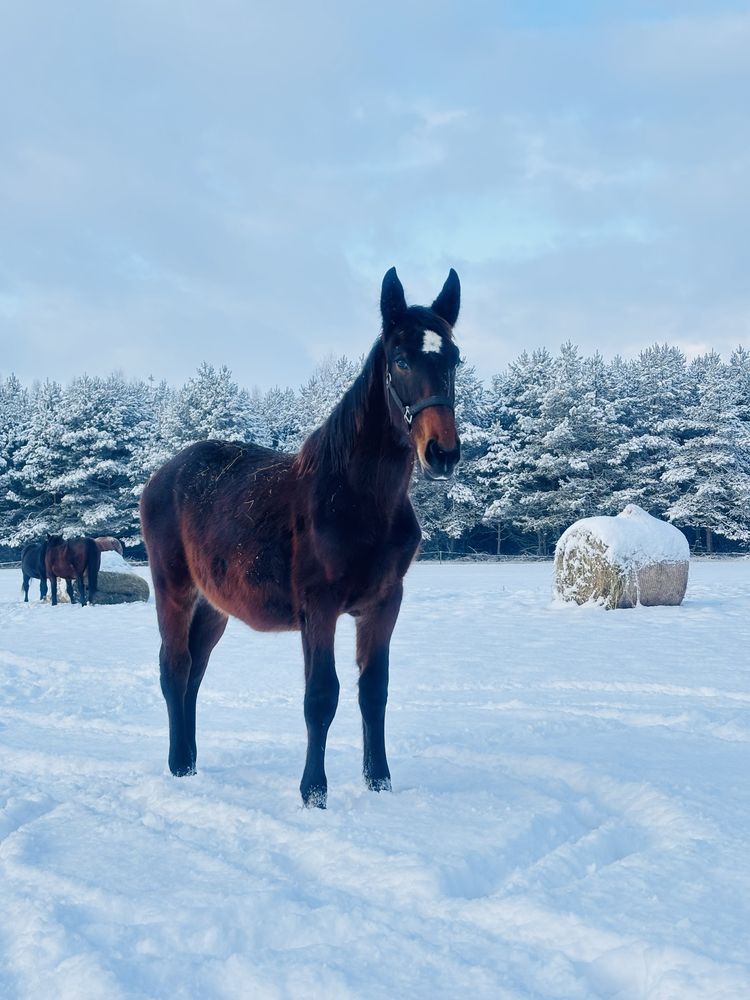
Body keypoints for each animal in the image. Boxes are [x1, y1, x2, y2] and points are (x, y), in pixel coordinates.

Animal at [138, 270, 462, 808]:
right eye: (400, 360)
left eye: (454, 359)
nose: (442, 453)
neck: (356, 497)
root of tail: (161, 476)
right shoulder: (319, 607)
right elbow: (321, 696)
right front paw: (315, 793)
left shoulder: (383, 604)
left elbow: (373, 692)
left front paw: (380, 783)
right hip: (174, 590)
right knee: (175, 668)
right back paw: (179, 766)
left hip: (213, 605)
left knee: (195, 674)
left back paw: (191, 761)